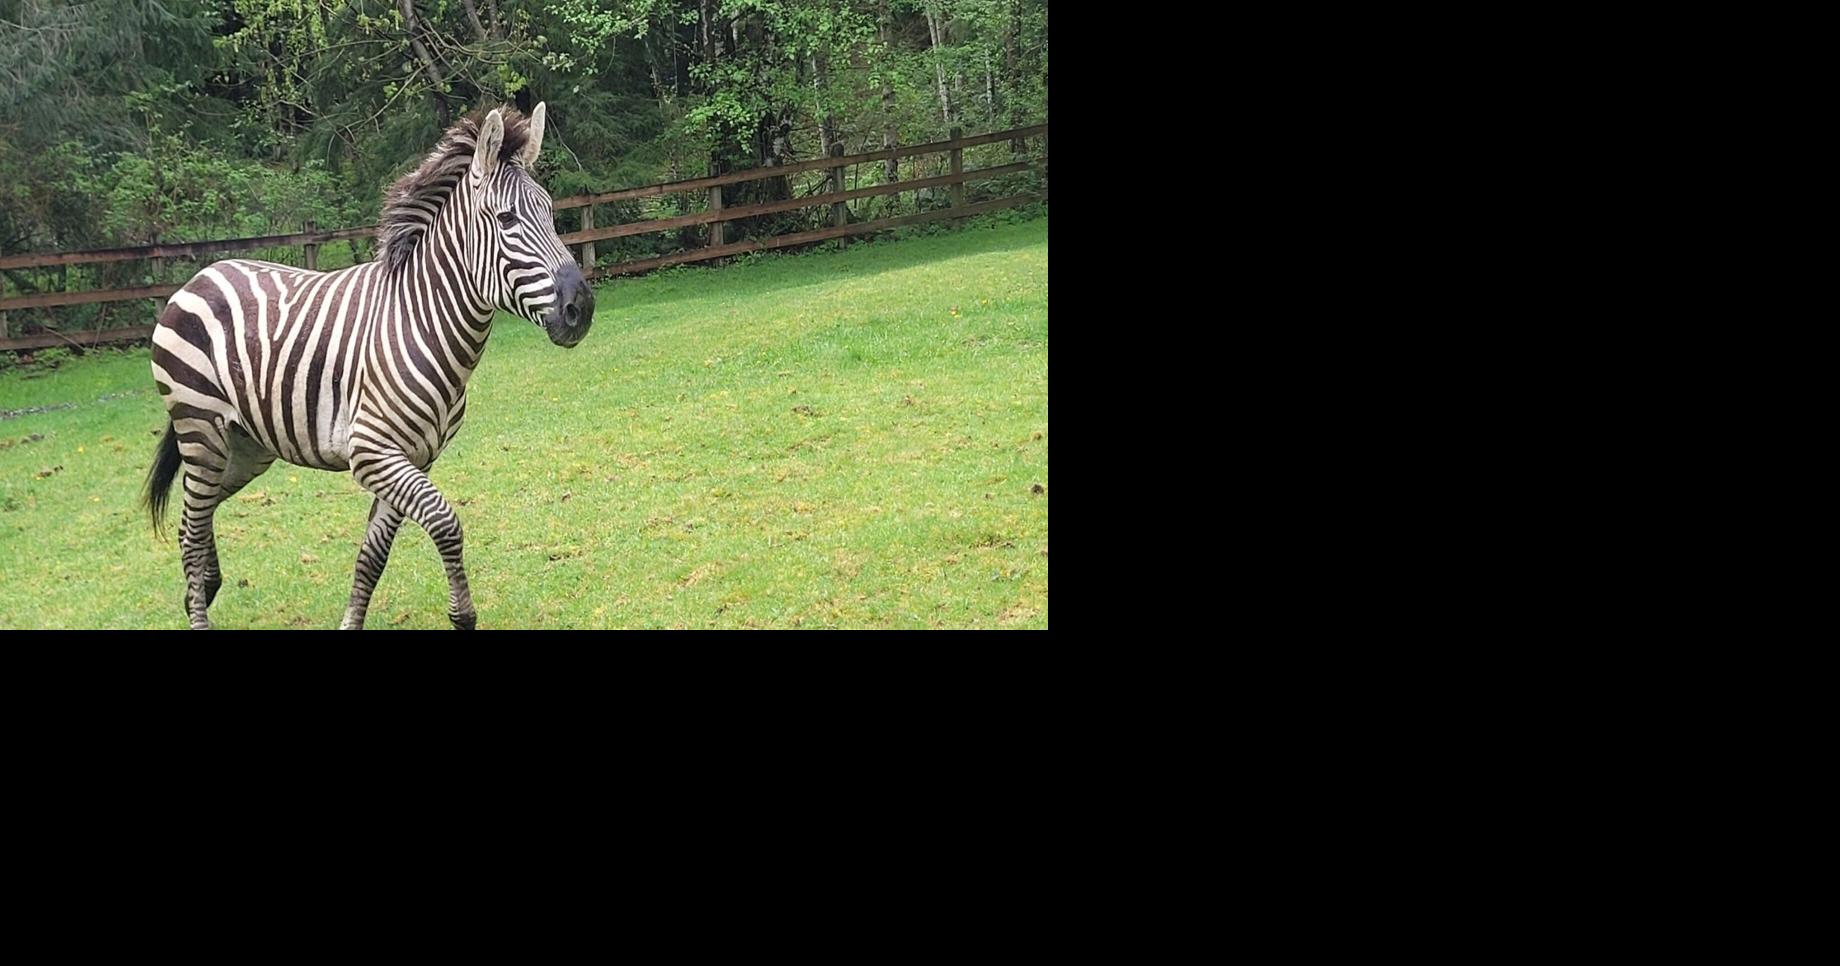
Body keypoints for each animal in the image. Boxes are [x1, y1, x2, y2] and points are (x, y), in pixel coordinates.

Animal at [140, 104, 594, 629]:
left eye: (550, 212)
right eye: (507, 219)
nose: (581, 308)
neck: (422, 322)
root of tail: (198, 277)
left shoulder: (415, 456)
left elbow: (373, 555)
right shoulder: (372, 451)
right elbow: (445, 520)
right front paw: (463, 615)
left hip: (245, 446)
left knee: (194, 515)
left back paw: (206, 586)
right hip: (201, 429)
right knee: (192, 527)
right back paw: (199, 607)